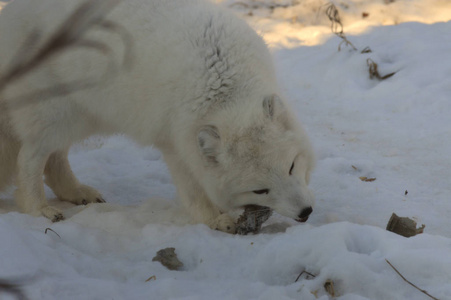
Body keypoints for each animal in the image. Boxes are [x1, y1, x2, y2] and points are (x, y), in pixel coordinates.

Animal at [0, 0, 316, 232]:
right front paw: (214, 219)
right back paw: (38, 208)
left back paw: (76, 192)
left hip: (85, 117)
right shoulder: (175, 142)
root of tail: (9, 15)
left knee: (55, 159)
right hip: (56, 115)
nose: (306, 212)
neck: (224, 88)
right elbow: (193, 190)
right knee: (30, 158)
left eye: (291, 167)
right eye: (260, 190)